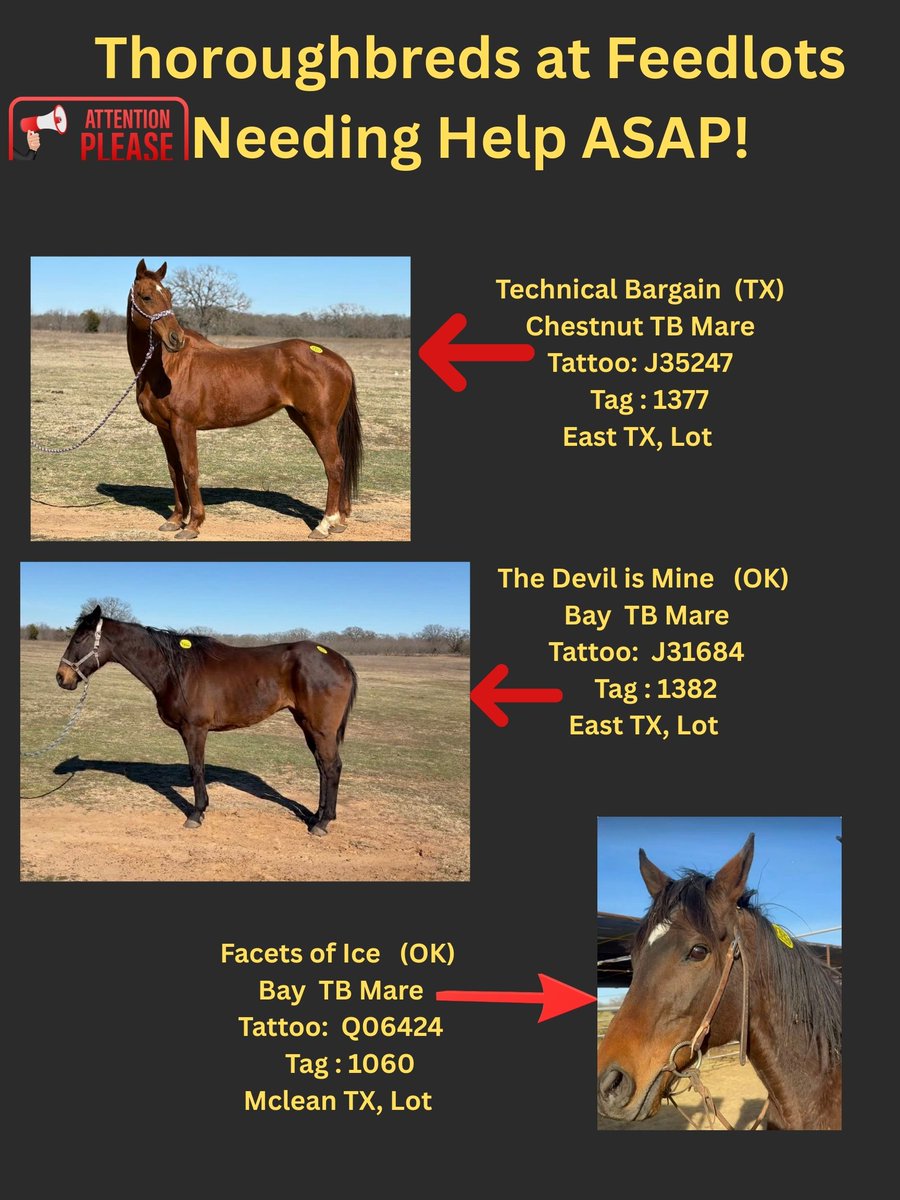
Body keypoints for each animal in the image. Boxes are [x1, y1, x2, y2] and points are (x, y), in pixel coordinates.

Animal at [56, 606, 357, 835]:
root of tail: (340, 660)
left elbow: (196, 769)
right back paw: (315, 816)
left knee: (332, 767)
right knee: (322, 767)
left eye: (80, 638)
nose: (61, 677)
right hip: (309, 726)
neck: (175, 670)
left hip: (320, 729)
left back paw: (322, 823)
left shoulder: (195, 730)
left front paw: (196, 813)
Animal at [127, 259, 363, 540]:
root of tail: (340, 362)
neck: (168, 367)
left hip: (320, 424)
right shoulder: (165, 429)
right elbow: (175, 471)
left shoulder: (184, 426)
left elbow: (190, 470)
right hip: (311, 422)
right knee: (340, 465)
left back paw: (324, 524)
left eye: (169, 295)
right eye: (147, 296)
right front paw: (175, 520)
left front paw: (193, 525)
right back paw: (339, 520)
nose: (176, 338)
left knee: (334, 466)